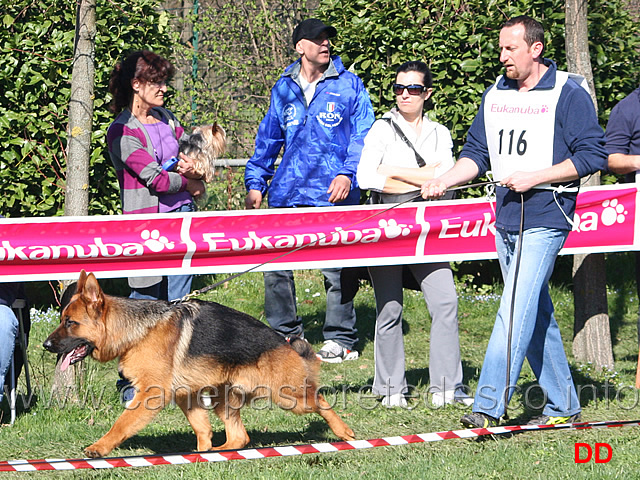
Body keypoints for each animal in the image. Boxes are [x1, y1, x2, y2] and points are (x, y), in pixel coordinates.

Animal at [43, 270, 356, 458]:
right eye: (62, 320)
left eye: (70, 323)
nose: (45, 345)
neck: (137, 332)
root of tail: (285, 343)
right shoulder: (187, 395)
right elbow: (202, 429)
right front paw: (200, 452)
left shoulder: (149, 395)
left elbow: (121, 424)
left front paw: (100, 447)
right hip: (222, 400)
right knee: (240, 437)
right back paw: (217, 452)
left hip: (289, 397)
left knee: (320, 400)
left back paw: (344, 431)